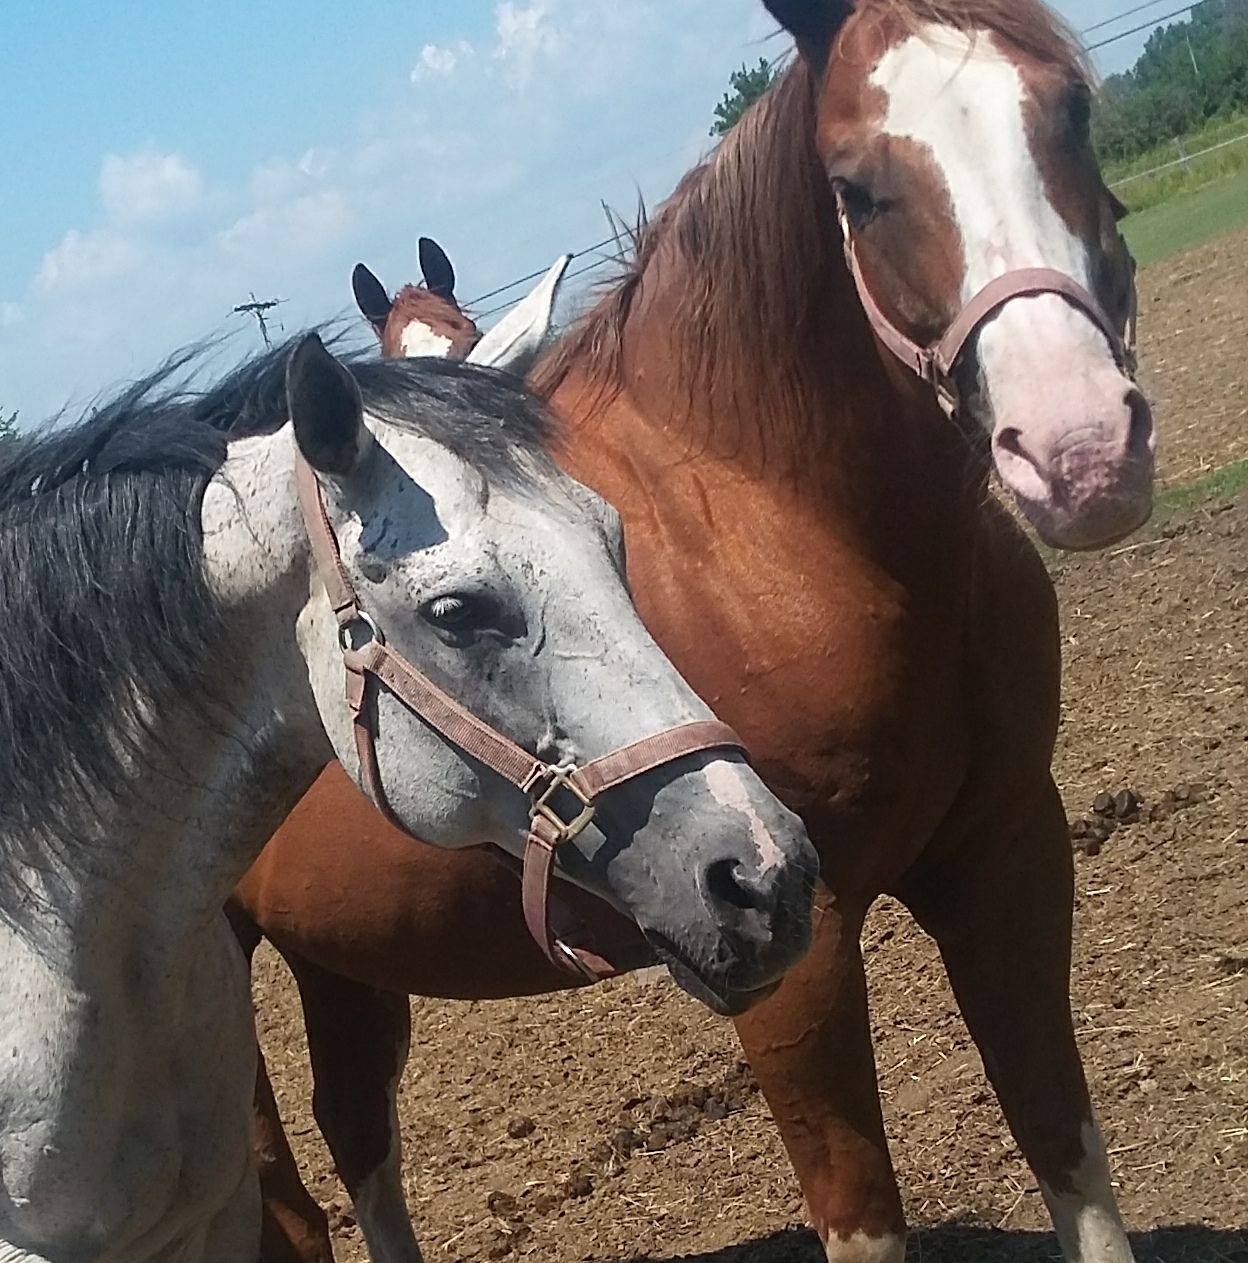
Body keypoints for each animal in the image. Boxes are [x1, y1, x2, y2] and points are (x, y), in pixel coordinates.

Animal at [236, 1, 1156, 1260]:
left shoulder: (1009, 848)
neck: (774, 521)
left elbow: (1065, 1141)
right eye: (857, 185)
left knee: (359, 1137)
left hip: (336, 956)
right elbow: (861, 1215)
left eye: (1068, 109)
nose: (1079, 446)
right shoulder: (793, 950)